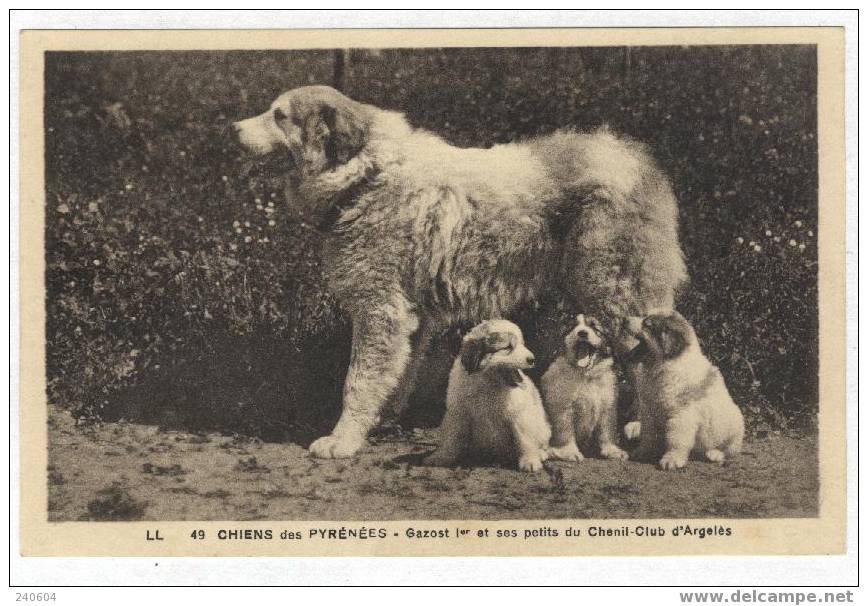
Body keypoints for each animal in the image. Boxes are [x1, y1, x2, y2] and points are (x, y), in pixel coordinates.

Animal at [426, 320, 552, 472]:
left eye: (522, 344)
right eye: (508, 347)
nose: (532, 359)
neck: (489, 382)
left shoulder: (519, 414)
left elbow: (524, 439)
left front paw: (530, 460)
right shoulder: (458, 413)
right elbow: (451, 437)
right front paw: (441, 456)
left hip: (542, 426)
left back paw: (540, 453)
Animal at [540, 316, 628, 464]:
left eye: (594, 327)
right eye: (573, 326)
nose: (582, 333)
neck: (585, 376)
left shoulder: (608, 406)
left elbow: (607, 430)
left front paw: (612, 450)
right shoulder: (562, 407)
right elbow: (565, 431)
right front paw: (569, 451)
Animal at [624, 312, 744, 472]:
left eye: (647, 324)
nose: (624, 320)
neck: (664, 365)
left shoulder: (681, 414)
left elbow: (676, 440)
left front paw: (671, 459)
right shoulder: (649, 411)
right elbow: (648, 435)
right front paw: (643, 452)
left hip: (735, 426)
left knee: (729, 450)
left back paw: (714, 454)